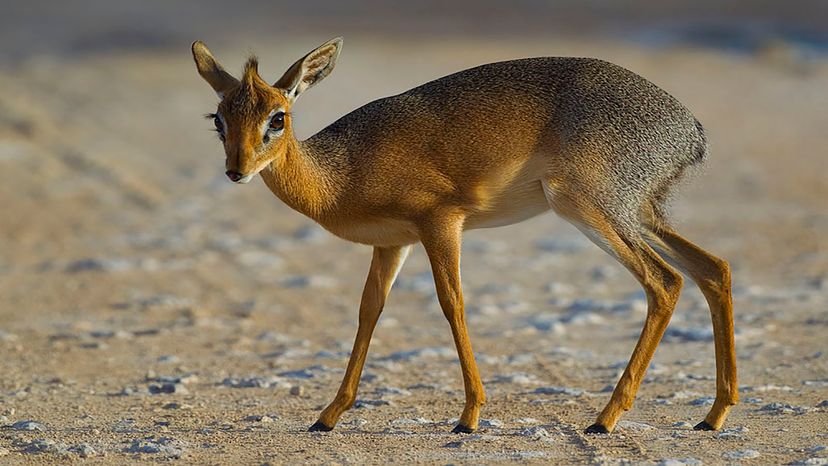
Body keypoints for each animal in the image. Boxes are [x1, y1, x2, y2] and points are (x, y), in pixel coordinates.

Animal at [192, 38, 736, 436]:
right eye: (218, 118)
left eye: (277, 118)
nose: (236, 171)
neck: (341, 173)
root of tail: (691, 130)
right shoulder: (391, 243)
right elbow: (369, 310)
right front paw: (328, 416)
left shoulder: (441, 223)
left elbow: (452, 303)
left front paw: (469, 416)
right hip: (639, 213)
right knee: (713, 268)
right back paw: (712, 415)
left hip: (589, 208)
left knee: (664, 281)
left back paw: (605, 419)